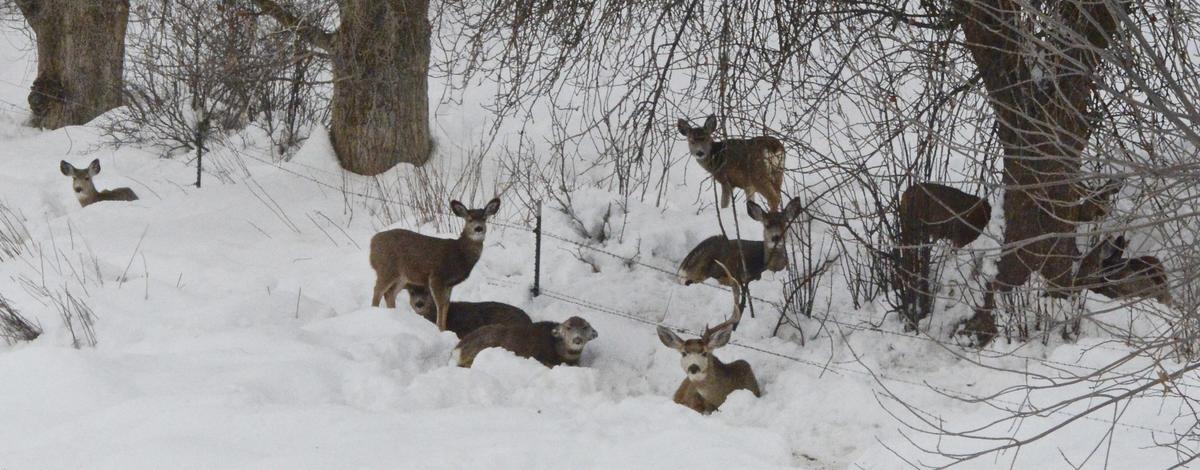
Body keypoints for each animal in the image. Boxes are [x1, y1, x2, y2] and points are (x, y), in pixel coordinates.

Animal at [364, 197, 496, 330]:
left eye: (484, 218)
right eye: (469, 219)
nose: (478, 228)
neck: (459, 253)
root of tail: (372, 242)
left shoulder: (449, 284)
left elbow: (446, 305)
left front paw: (443, 328)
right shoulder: (437, 277)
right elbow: (440, 305)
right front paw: (440, 329)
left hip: (402, 276)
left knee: (389, 293)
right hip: (387, 268)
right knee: (378, 290)